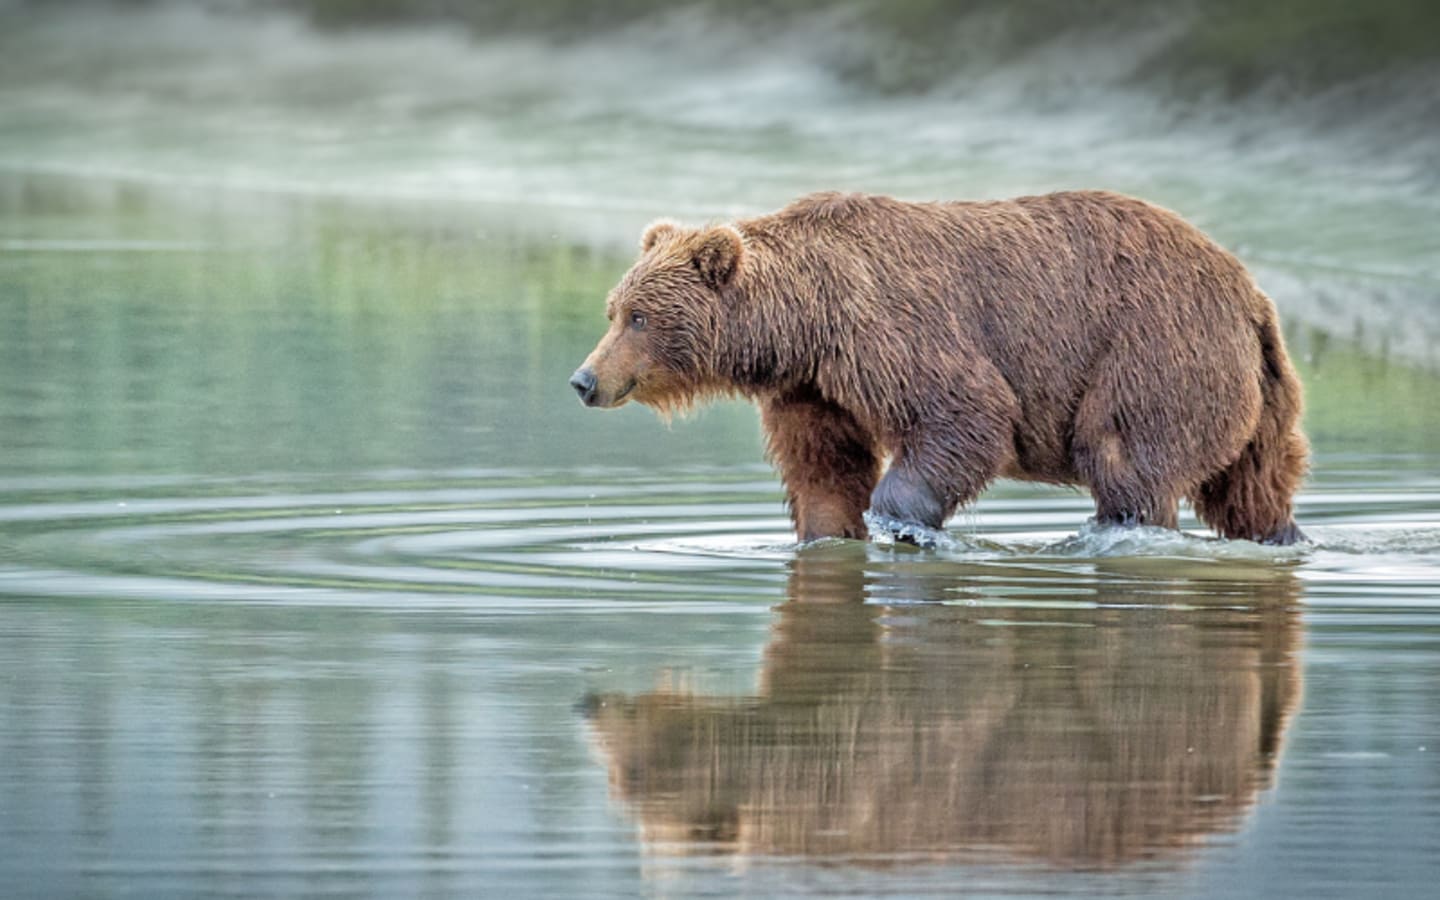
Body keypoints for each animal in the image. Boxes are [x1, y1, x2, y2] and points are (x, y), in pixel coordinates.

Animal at [569, 190, 1308, 545]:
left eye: (639, 317)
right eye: (614, 309)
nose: (584, 380)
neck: (806, 323)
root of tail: (1252, 295)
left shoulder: (890, 330)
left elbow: (965, 414)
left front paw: (898, 521)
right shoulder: (814, 388)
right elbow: (822, 466)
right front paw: (825, 534)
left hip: (1152, 349)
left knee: (1127, 458)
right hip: (1256, 394)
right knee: (1252, 488)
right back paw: (1282, 536)